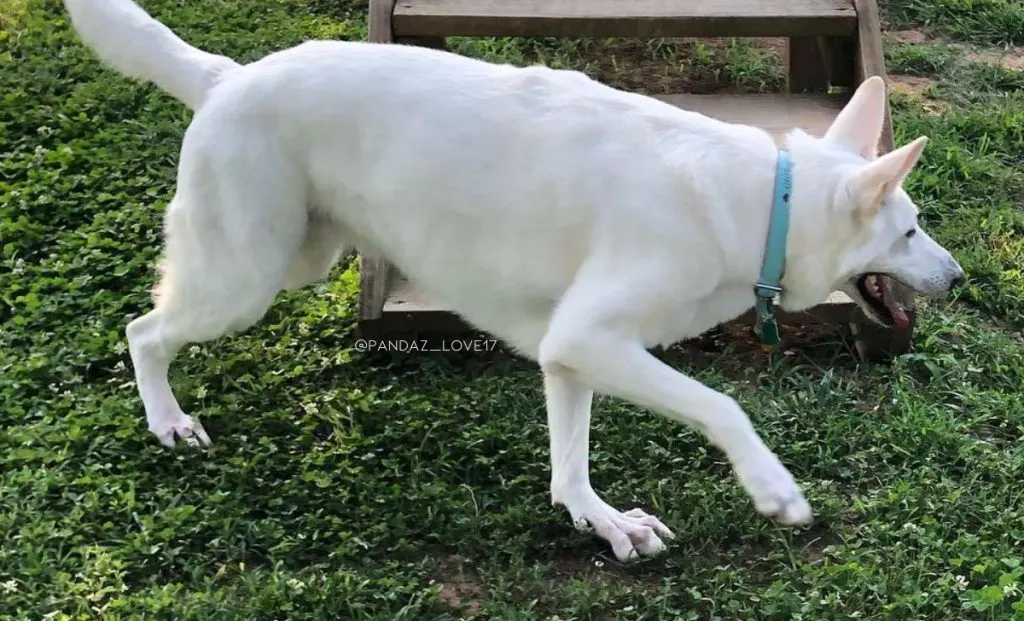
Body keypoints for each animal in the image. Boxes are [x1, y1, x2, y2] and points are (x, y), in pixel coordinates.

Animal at [68, 0, 962, 565]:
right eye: (909, 230)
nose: (957, 276)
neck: (763, 201)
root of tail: (226, 77)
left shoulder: (570, 354)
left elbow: (569, 467)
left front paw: (602, 522)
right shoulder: (595, 338)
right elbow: (724, 406)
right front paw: (773, 489)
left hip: (293, 259)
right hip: (249, 275)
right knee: (144, 329)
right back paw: (167, 418)